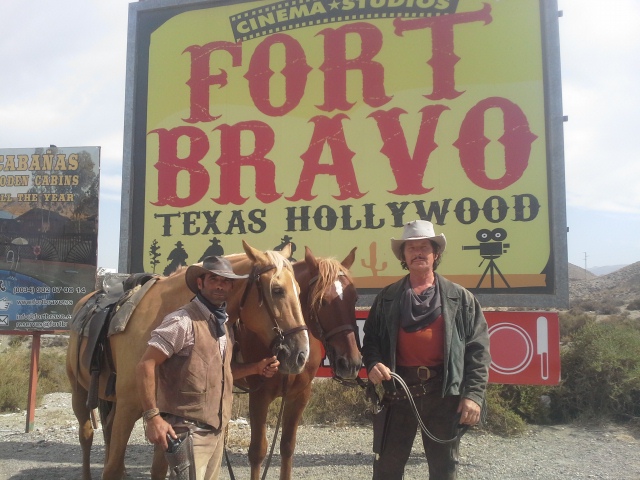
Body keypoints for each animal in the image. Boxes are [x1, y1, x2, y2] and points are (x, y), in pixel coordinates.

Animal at [234, 246, 362, 480]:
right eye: (322, 301)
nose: (351, 362)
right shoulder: (259, 396)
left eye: (354, 298)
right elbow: (257, 452)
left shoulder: (299, 396)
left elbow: (287, 447)